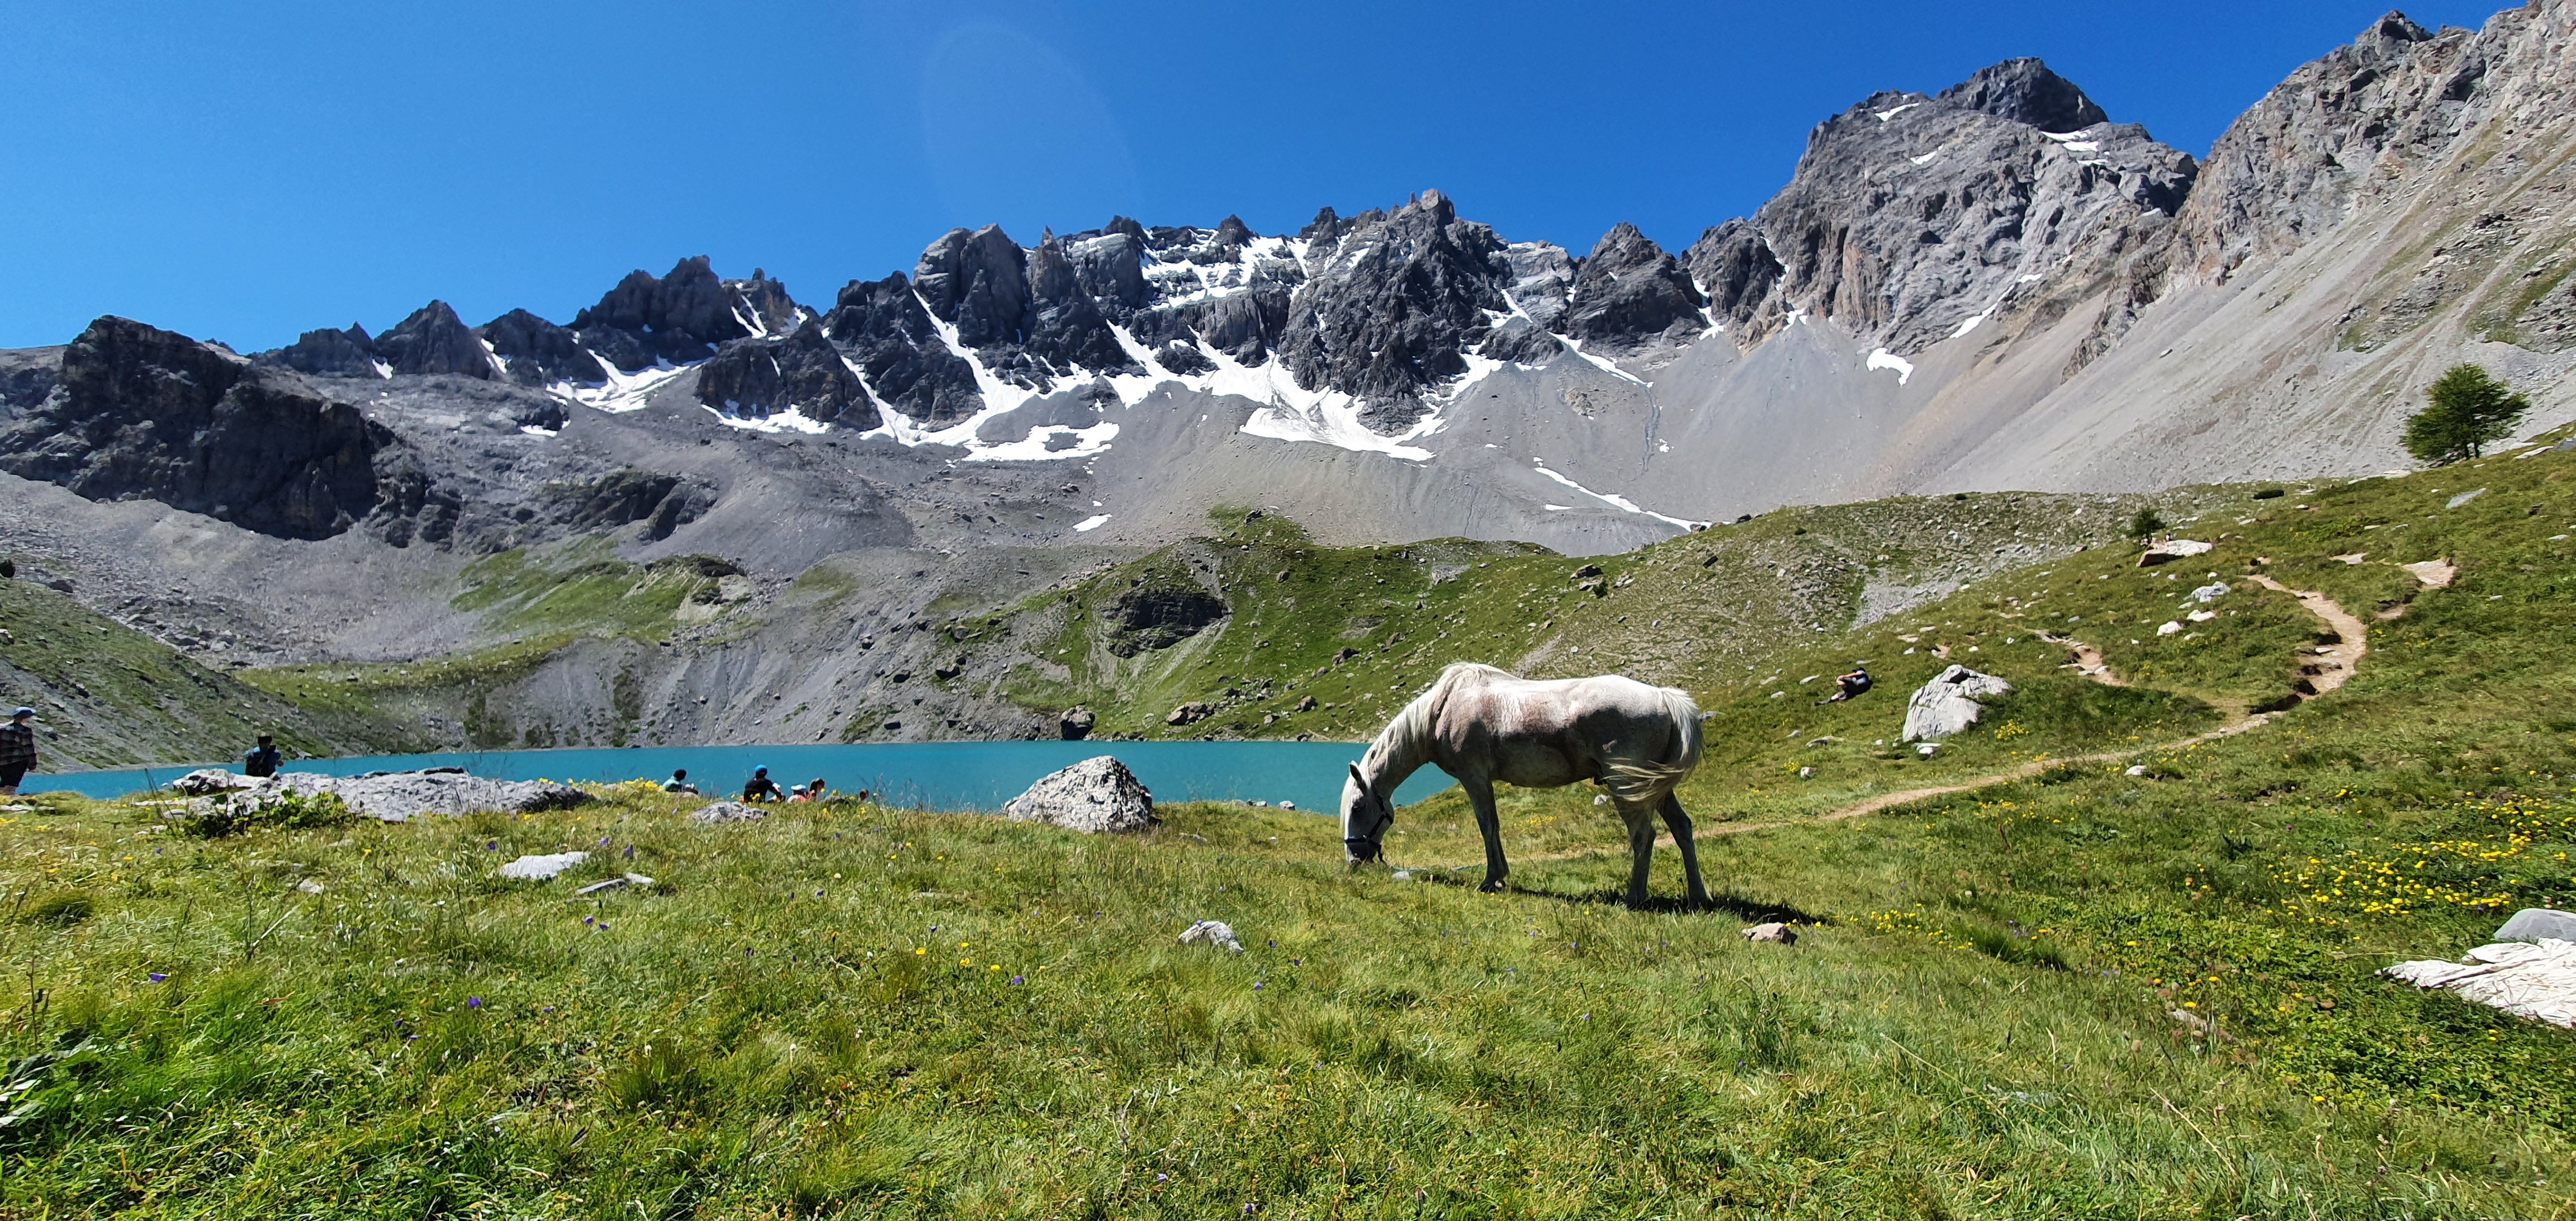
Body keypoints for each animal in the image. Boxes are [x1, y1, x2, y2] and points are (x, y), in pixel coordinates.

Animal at [1339, 662, 1711, 909]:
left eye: (1357, 808)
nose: (1354, 861)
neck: (1441, 711)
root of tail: (1664, 698)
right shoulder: (1485, 781)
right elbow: (1495, 826)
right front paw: (1501, 876)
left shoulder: (1474, 778)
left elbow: (1487, 826)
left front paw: (1491, 880)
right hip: (1656, 788)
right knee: (1682, 828)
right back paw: (1698, 897)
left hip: (1628, 787)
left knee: (1643, 836)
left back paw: (1634, 897)